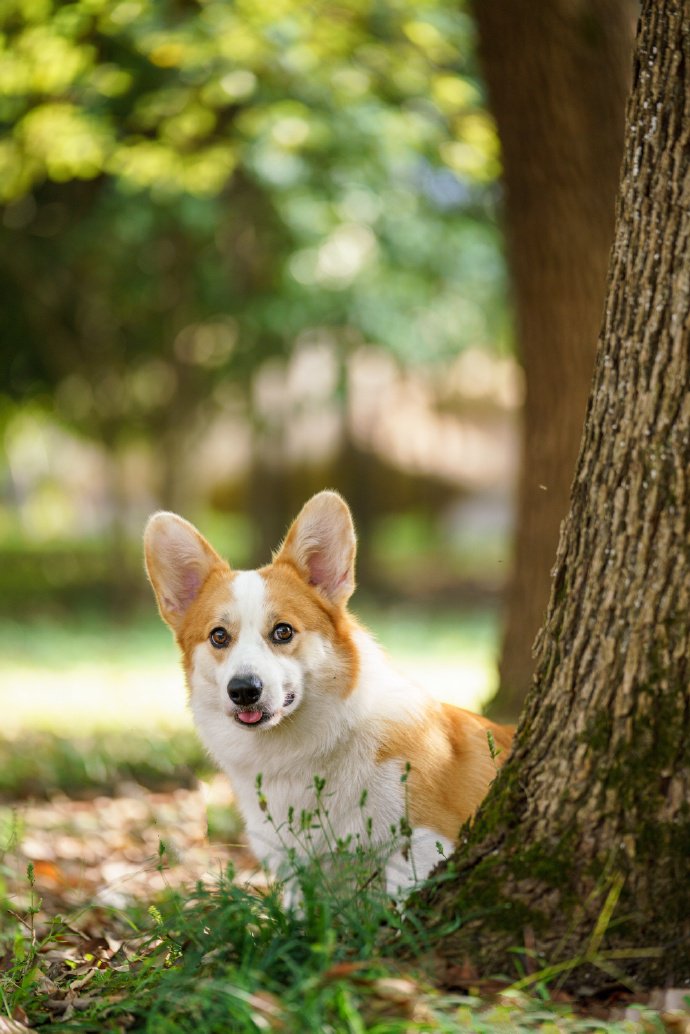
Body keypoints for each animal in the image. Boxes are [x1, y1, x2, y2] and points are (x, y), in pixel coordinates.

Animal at [144, 488, 513, 893]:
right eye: (219, 636)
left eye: (283, 631)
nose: (243, 690)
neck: (299, 750)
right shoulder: (296, 874)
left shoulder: (421, 849)